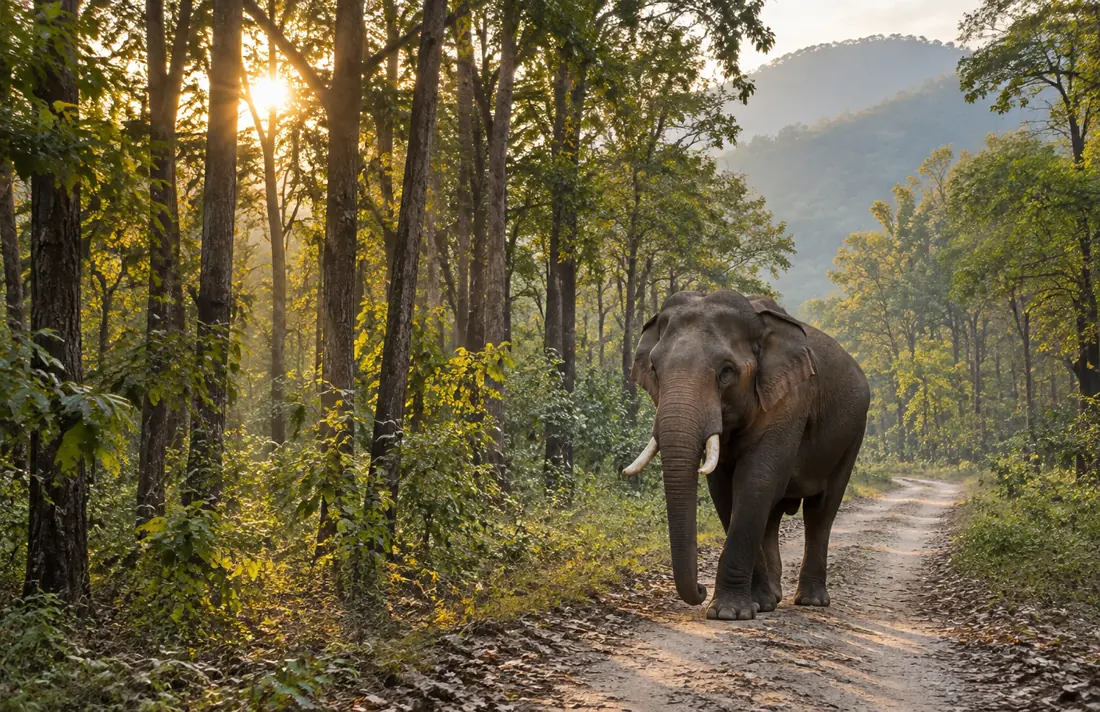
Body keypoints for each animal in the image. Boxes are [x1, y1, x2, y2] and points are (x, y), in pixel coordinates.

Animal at [622, 289, 870, 621]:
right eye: (654, 370)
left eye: (727, 372)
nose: (700, 589)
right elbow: (725, 490)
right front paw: (759, 604)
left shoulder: (790, 399)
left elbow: (756, 479)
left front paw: (729, 613)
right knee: (774, 515)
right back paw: (775, 596)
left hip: (853, 437)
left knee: (821, 510)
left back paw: (812, 600)